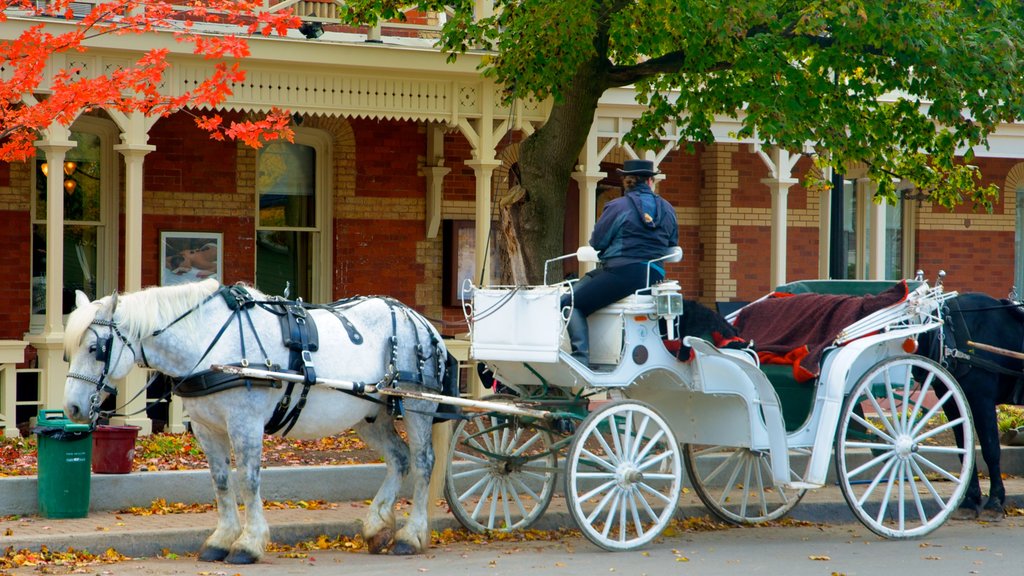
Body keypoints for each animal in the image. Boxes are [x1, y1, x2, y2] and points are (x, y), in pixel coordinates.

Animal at [64, 278, 448, 561]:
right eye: (68, 351)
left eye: (96, 349)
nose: (72, 408)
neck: (210, 343)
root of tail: (420, 320)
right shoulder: (207, 428)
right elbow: (221, 481)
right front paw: (221, 539)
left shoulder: (245, 423)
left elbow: (247, 480)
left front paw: (248, 544)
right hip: (371, 414)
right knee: (399, 459)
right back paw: (377, 527)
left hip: (417, 405)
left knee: (423, 462)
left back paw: (411, 536)